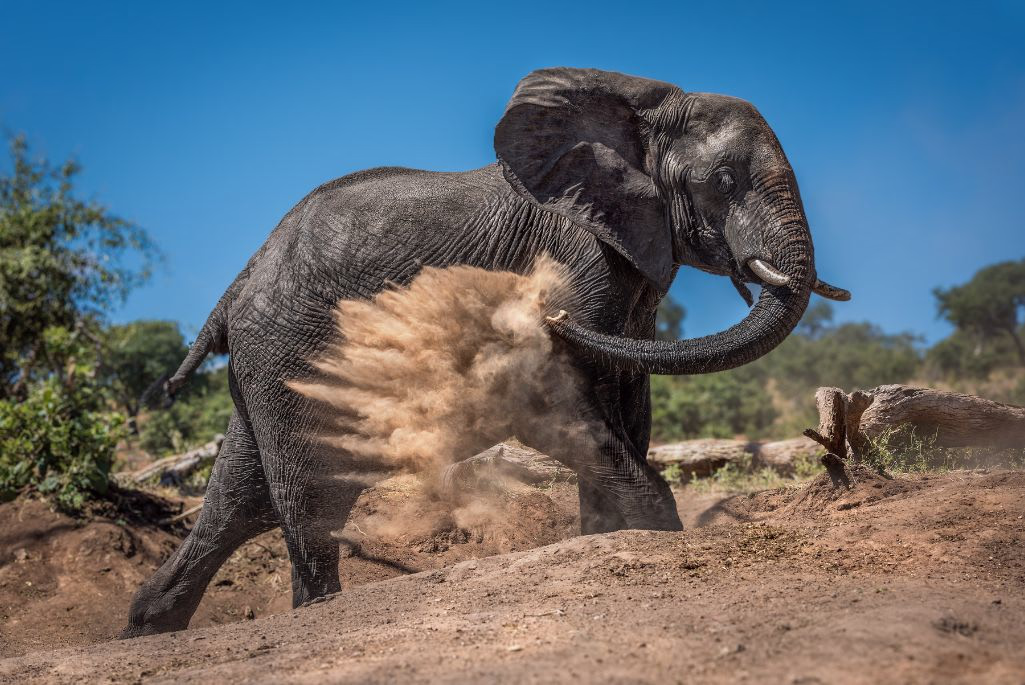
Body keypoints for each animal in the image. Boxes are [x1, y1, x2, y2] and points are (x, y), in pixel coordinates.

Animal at [121, 67, 849, 637]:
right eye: (723, 179)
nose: (545, 314)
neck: (641, 109)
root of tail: (237, 283)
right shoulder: (573, 255)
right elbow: (552, 401)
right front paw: (657, 537)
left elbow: (625, 405)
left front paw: (607, 539)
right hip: (287, 353)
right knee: (309, 496)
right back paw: (311, 612)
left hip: (268, 364)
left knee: (240, 501)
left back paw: (146, 628)